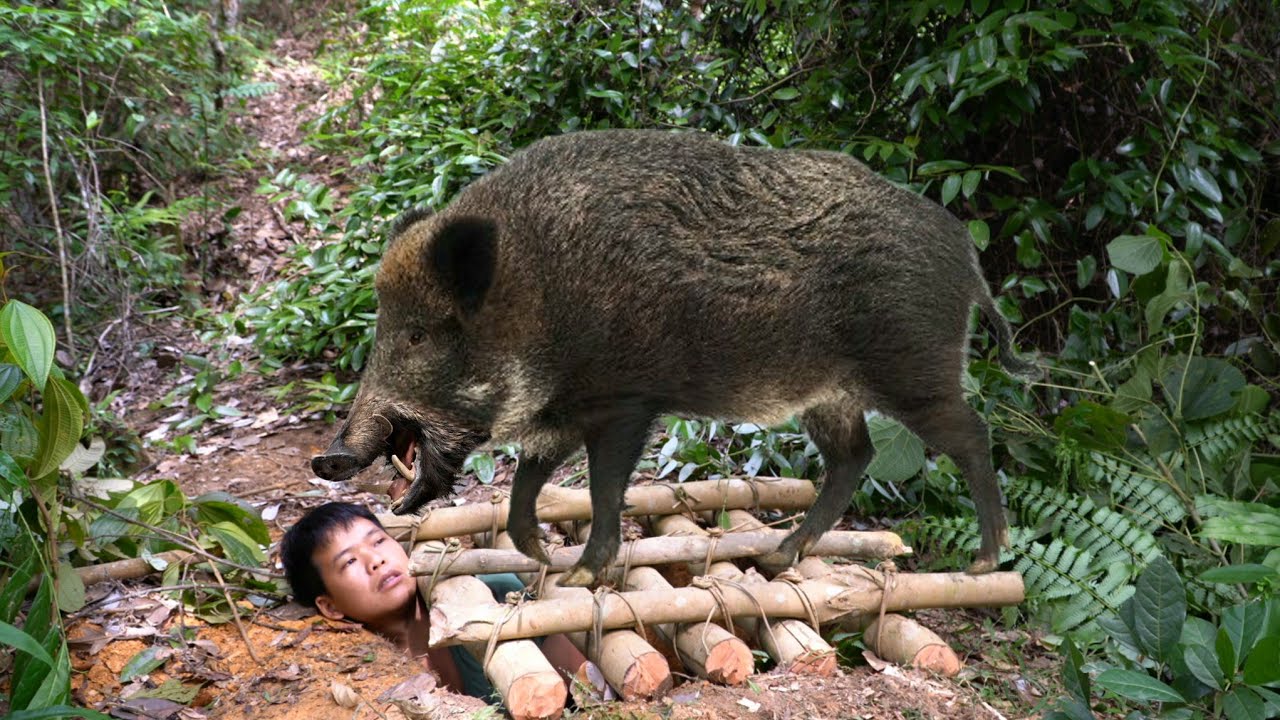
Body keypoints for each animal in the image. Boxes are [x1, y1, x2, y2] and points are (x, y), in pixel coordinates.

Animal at [311, 129, 1034, 587]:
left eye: (418, 336)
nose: (329, 457)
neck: (538, 294)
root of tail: (969, 260)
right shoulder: (564, 413)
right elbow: (527, 487)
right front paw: (540, 557)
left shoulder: (627, 400)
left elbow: (603, 486)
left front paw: (579, 573)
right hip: (830, 395)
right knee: (854, 457)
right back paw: (779, 560)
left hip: (911, 368)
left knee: (971, 435)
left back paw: (983, 562)